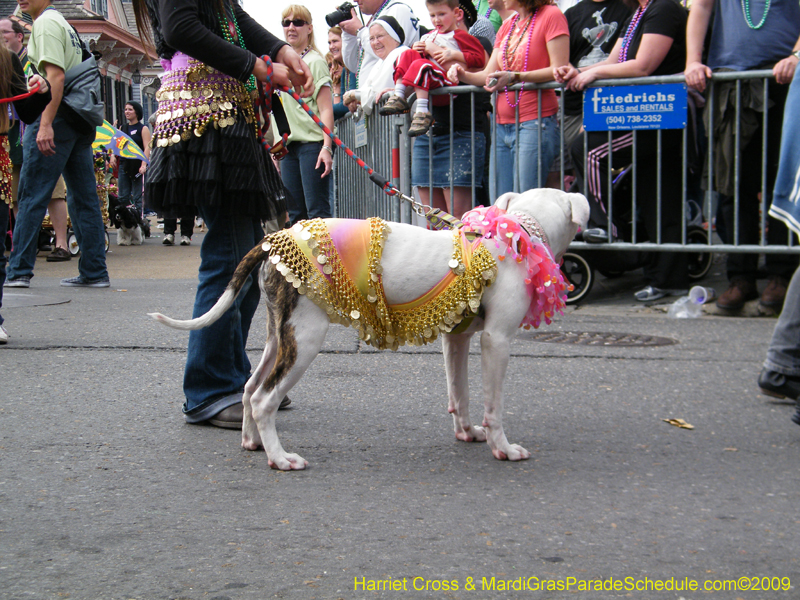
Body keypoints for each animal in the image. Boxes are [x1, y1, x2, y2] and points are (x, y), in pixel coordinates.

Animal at [152, 190, 588, 472]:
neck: (514, 235)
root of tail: (273, 238)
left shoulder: (457, 338)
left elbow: (459, 394)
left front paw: (467, 432)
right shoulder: (496, 341)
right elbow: (493, 407)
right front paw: (503, 448)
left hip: (280, 336)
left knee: (248, 388)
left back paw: (253, 441)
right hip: (305, 340)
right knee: (263, 399)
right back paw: (280, 458)